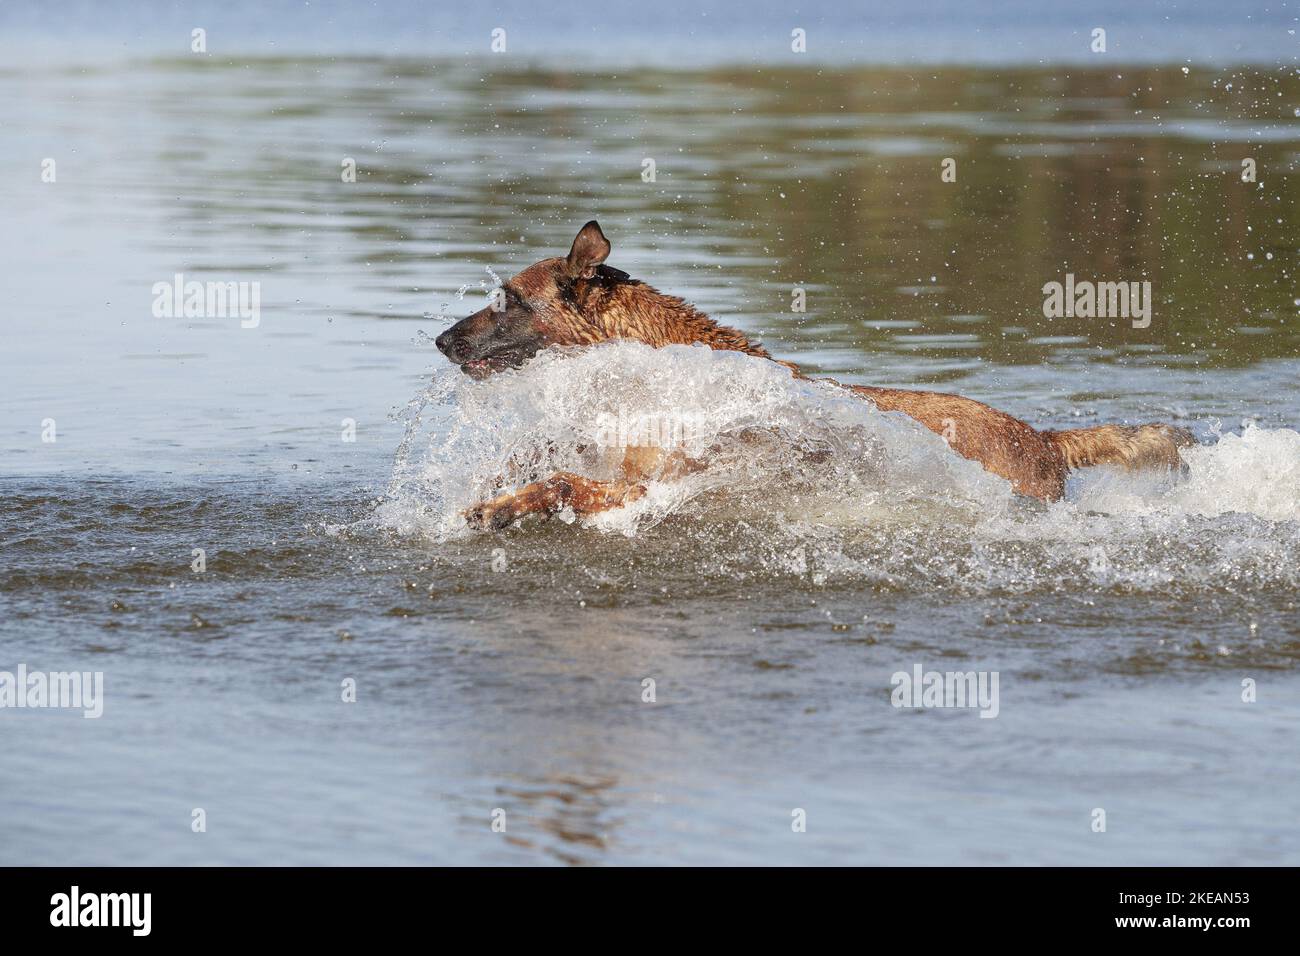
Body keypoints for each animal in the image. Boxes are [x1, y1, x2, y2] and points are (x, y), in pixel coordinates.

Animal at [439, 222, 1196, 530]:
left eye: (505, 299)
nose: (441, 340)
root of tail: (1044, 437)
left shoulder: (653, 488)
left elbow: (562, 480)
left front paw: (500, 506)